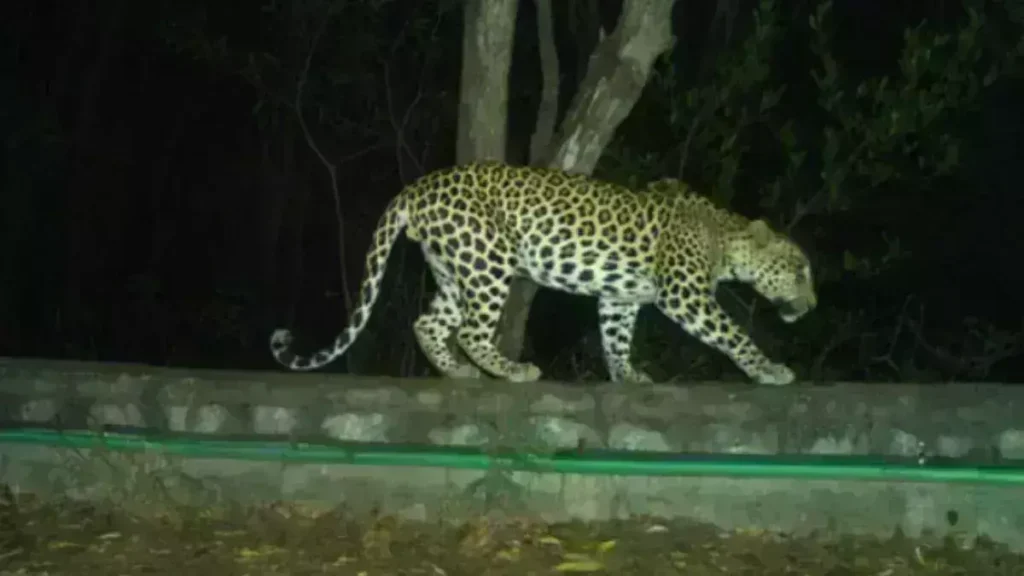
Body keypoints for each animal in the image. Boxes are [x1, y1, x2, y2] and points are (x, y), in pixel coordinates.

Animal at [270, 161, 817, 385]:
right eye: (800, 271)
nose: (812, 306)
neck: (727, 236)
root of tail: (417, 187)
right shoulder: (685, 294)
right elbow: (734, 334)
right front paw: (769, 370)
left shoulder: (619, 298)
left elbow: (616, 338)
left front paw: (627, 376)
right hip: (488, 259)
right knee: (471, 331)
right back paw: (512, 371)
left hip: (454, 268)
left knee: (429, 323)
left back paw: (459, 372)